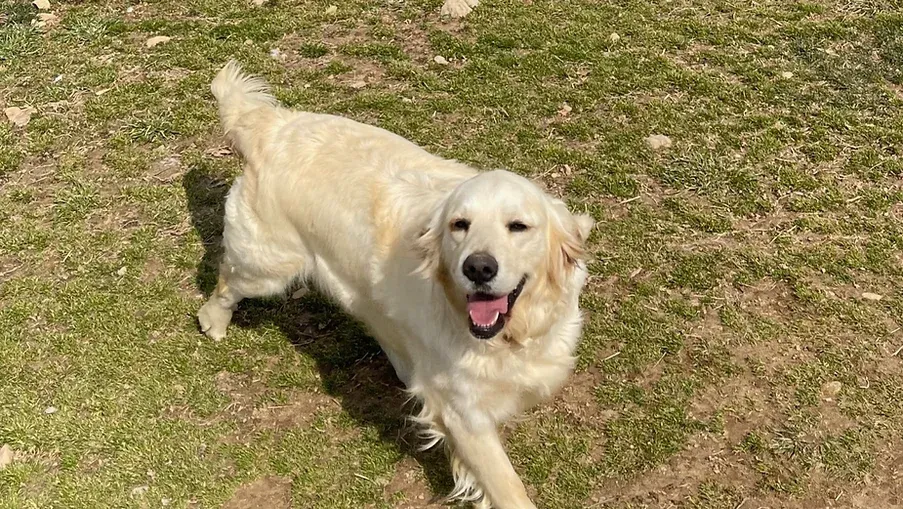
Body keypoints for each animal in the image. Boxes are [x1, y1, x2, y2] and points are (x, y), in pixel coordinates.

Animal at [198, 61, 592, 506]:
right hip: (267, 265)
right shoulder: (463, 414)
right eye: (460, 224)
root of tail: (274, 125)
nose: (478, 267)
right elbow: (507, 487)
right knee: (225, 283)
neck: (508, 338)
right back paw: (213, 321)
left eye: (518, 226)